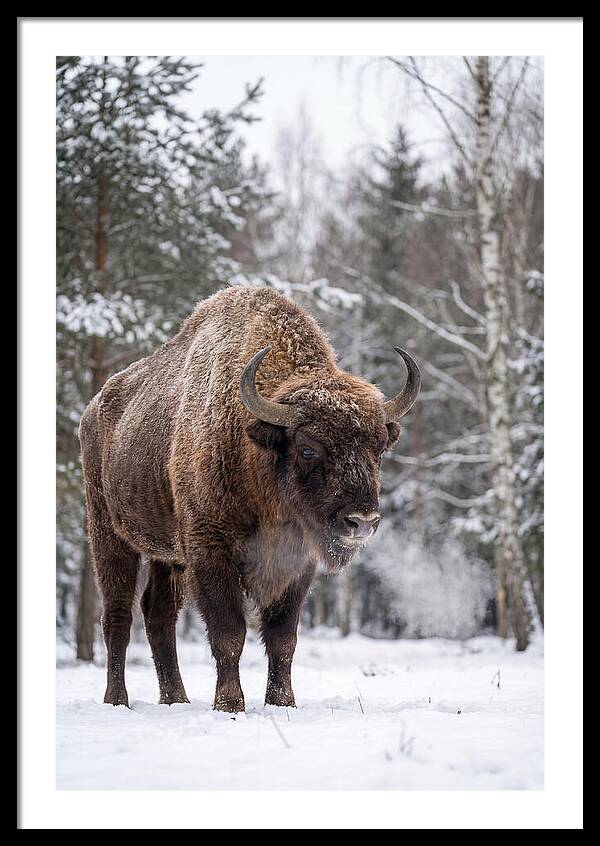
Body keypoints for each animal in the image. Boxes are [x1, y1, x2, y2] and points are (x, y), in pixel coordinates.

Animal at [79, 286, 420, 711]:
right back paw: (117, 700)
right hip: (109, 534)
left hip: (166, 554)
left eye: (378, 448)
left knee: (158, 615)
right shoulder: (210, 552)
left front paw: (282, 703)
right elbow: (229, 633)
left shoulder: (297, 563)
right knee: (118, 617)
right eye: (308, 448)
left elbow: (282, 638)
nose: (362, 521)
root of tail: (93, 410)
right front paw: (229, 705)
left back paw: (176, 700)